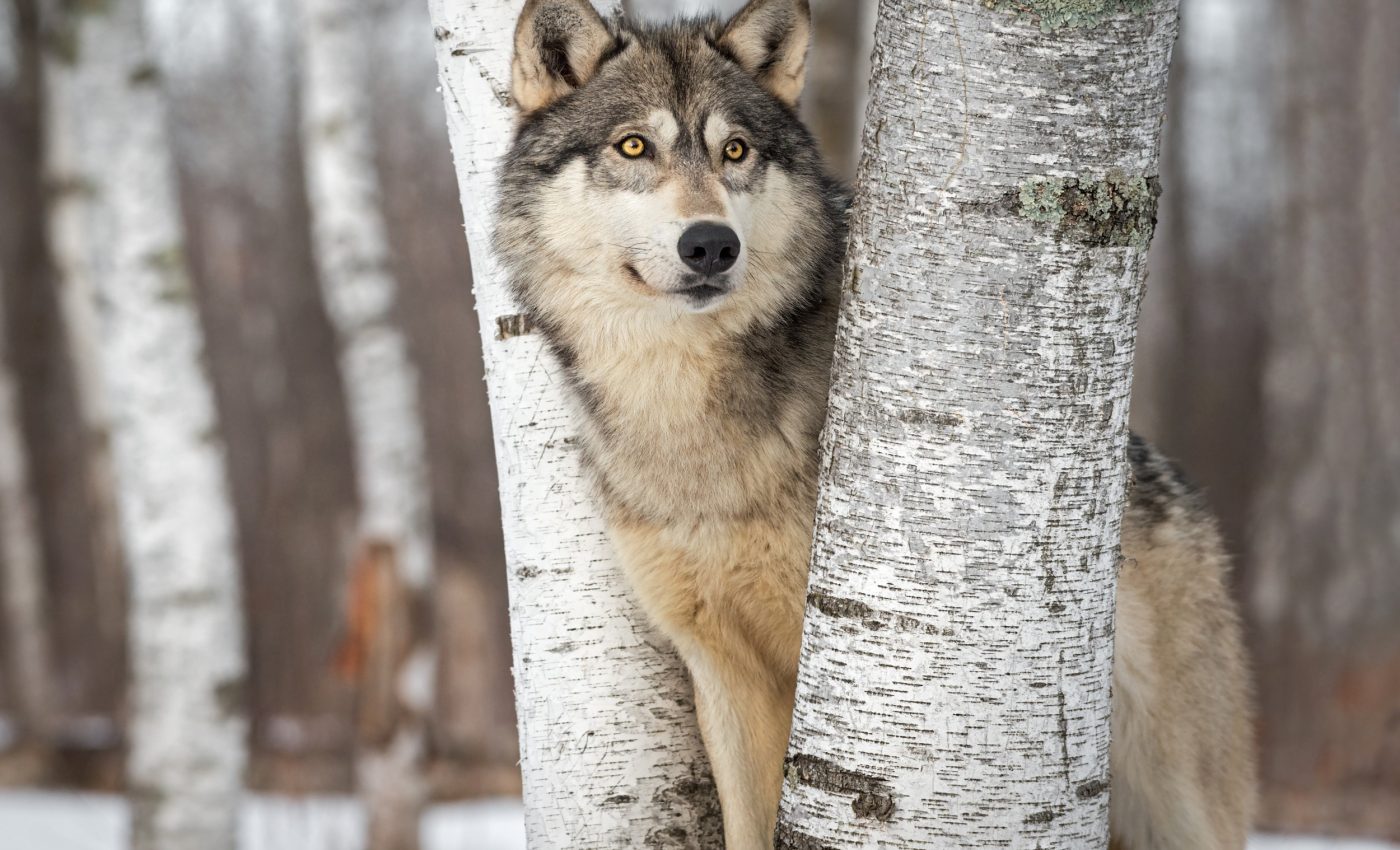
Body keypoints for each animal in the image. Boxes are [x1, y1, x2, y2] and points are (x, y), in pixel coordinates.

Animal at [495, 0, 1256, 847]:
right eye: (634, 145)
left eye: (735, 150)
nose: (711, 244)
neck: (684, 412)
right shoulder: (721, 669)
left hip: (1175, 800)